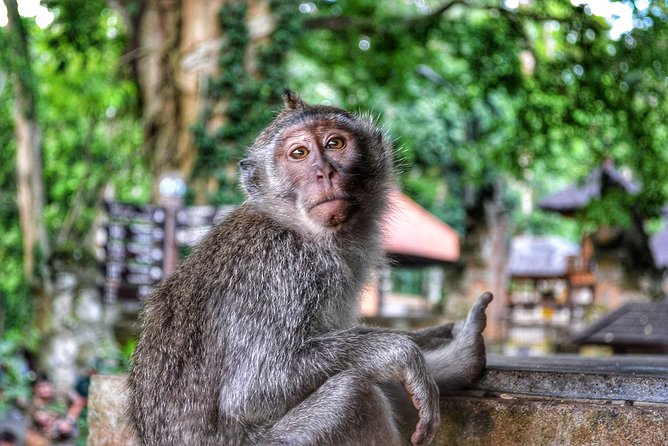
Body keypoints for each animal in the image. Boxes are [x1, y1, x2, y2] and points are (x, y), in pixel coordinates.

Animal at [127, 92, 492, 446]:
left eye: (335, 143)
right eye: (299, 153)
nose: (325, 172)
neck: (297, 226)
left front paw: (435, 344)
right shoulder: (282, 269)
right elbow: (253, 389)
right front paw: (401, 353)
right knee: (354, 395)